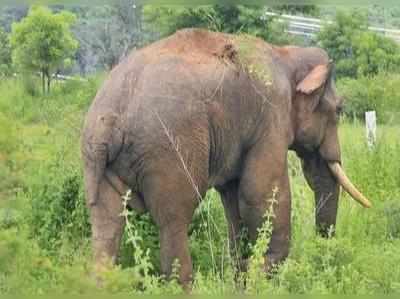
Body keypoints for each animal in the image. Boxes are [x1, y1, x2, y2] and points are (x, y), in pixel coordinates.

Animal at [81, 28, 372, 288]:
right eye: (339, 110)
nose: (324, 250)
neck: (287, 53)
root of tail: (110, 120)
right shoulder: (271, 117)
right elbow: (260, 192)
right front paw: (262, 277)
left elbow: (234, 198)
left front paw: (243, 278)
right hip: (168, 150)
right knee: (174, 220)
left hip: (97, 159)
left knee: (107, 222)